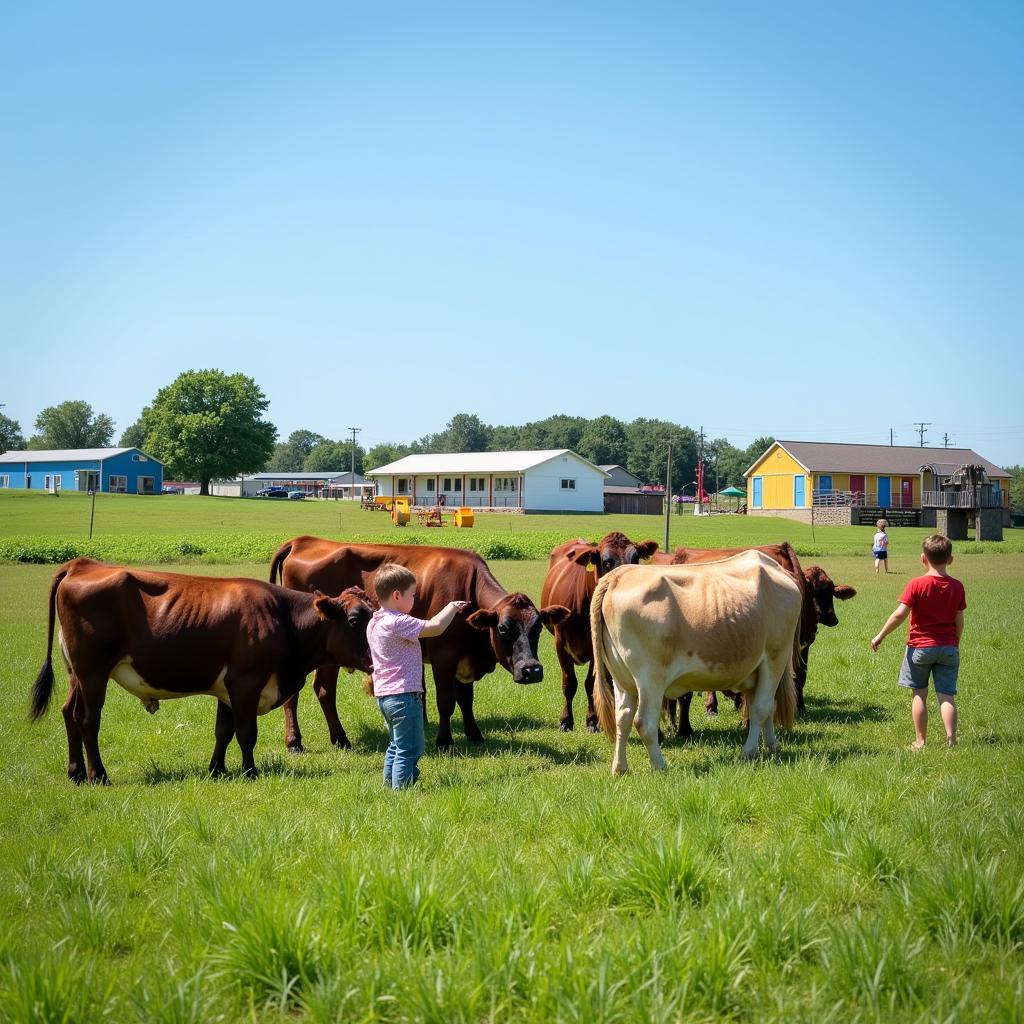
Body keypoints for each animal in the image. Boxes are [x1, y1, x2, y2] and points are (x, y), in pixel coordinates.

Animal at [29, 561, 376, 782]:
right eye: (355, 620)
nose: (376, 661)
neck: (282, 618)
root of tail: (81, 564)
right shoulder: (246, 682)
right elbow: (246, 733)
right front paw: (250, 772)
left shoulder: (227, 687)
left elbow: (223, 731)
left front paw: (217, 770)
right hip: (93, 672)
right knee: (88, 720)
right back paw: (98, 775)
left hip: (76, 674)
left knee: (69, 713)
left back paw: (75, 772)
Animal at [268, 536, 573, 753]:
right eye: (503, 628)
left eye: (537, 628)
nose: (532, 670)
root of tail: (302, 540)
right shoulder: (444, 656)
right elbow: (446, 700)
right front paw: (445, 741)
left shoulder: (464, 660)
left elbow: (466, 699)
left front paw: (474, 734)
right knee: (311, 692)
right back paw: (301, 741)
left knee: (320, 690)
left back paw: (335, 738)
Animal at [540, 532, 659, 733]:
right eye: (607, 562)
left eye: (635, 558)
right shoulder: (560, 645)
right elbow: (569, 683)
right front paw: (566, 721)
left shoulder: (597, 647)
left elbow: (590, 683)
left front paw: (592, 720)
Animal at [593, 552, 798, 774]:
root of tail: (618, 575)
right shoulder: (775, 656)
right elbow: (762, 708)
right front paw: (750, 751)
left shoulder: (757, 668)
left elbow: (761, 708)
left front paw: (772, 747)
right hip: (650, 677)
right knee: (644, 722)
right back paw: (660, 765)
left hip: (621, 678)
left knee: (623, 718)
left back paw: (619, 767)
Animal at [647, 544, 856, 737]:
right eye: (814, 589)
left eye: (831, 590)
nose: (831, 617)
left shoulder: (803, 647)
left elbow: (800, 677)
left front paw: (800, 707)